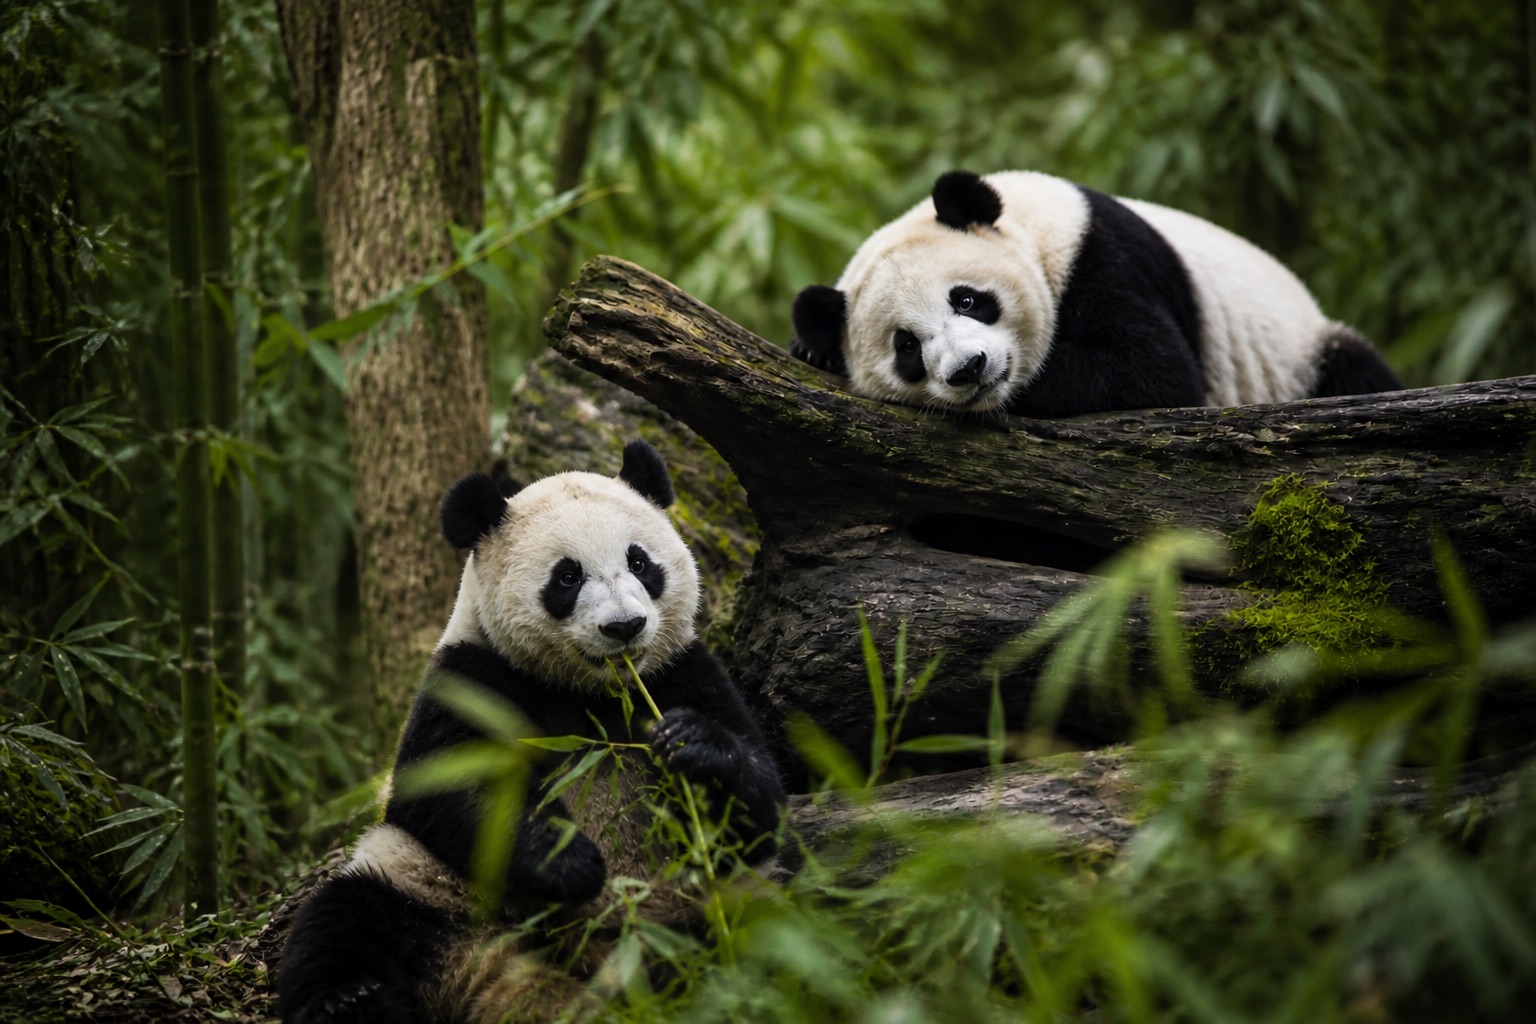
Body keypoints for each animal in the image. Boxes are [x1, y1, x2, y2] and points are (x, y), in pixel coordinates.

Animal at [276, 440, 785, 1024]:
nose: (625, 628)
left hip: (700, 904)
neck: (589, 692)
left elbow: (759, 804)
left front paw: (691, 745)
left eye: (639, 562)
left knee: (769, 941)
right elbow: (442, 790)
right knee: (346, 920)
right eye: (567, 577)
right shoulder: (473, 676)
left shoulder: (682, 671)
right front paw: (569, 861)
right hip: (429, 887)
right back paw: (349, 1001)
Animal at [790, 169, 1402, 417]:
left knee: (1353, 369)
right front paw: (814, 349)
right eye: (907, 348)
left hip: (1301, 352)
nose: (969, 369)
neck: (1031, 228)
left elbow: (1149, 368)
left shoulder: (1101, 256)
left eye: (966, 299)